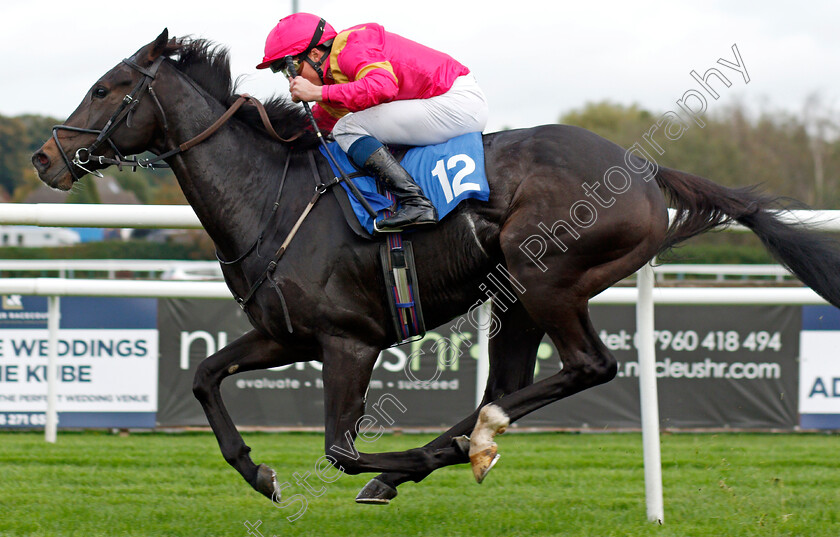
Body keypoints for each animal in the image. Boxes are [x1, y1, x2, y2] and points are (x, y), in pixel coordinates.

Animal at [32, 31, 840, 504]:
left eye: (105, 88)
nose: (42, 157)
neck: (272, 194)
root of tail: (645, 170)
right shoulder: (287, 335)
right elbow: (204, 374)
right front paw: (258, 472)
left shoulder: (350, 341)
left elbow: (340, 450)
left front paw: (375, 465)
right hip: (515, 300)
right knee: (508, 385)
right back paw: (456, 447)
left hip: (549, 280)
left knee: (587, 367)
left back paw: (447, 449)